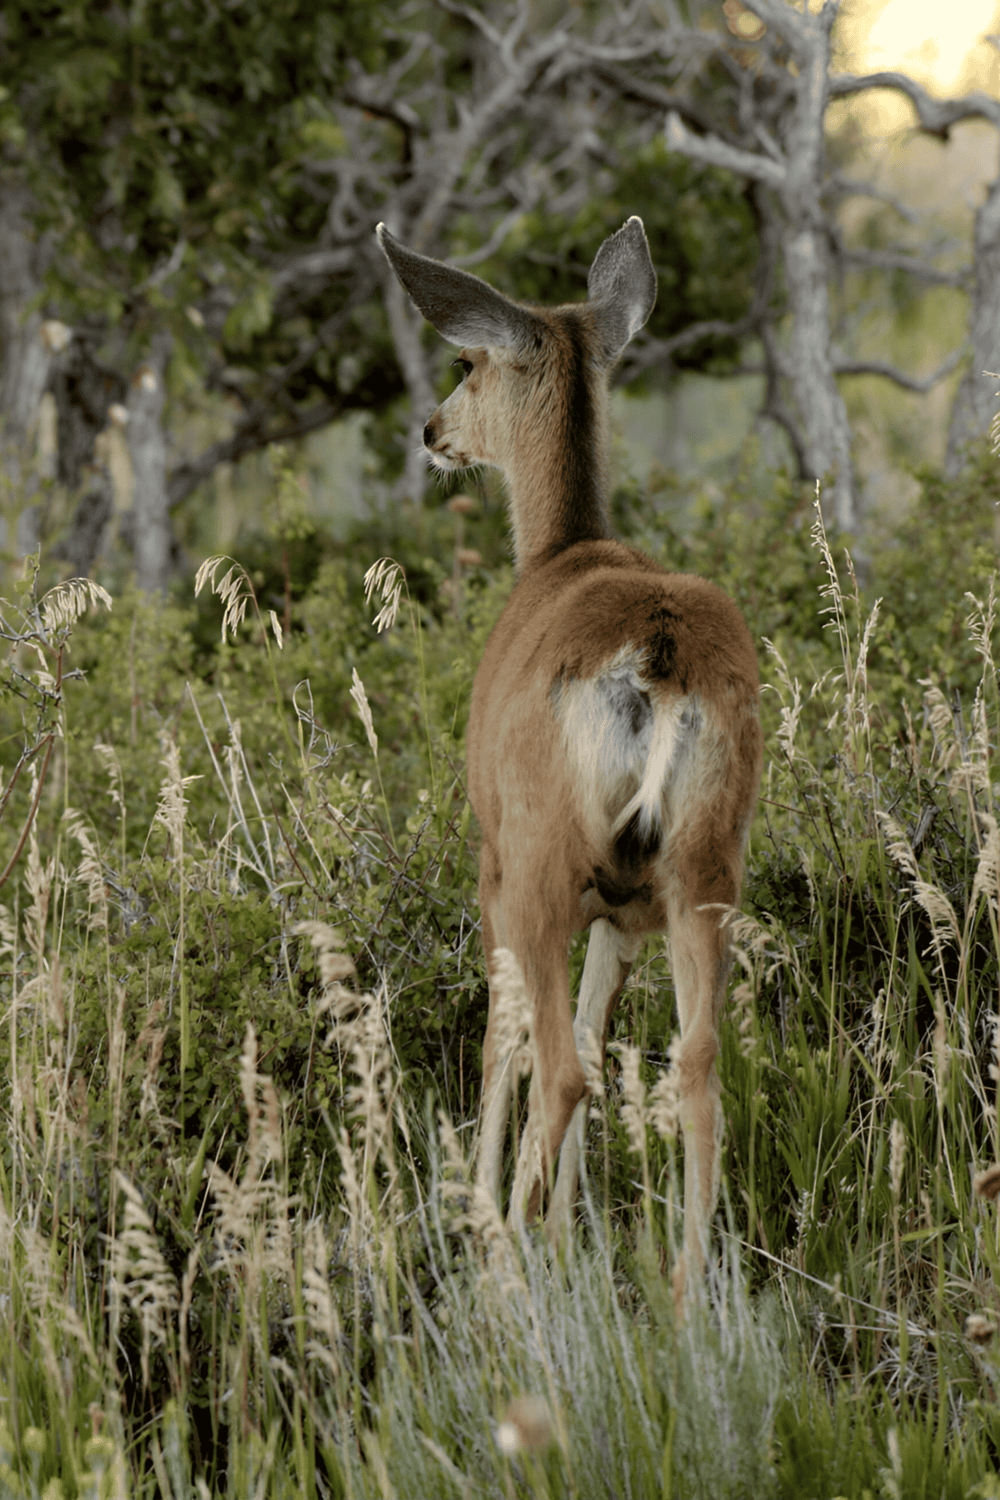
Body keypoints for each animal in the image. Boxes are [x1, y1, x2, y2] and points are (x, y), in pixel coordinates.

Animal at [376, 216, 763, 1302]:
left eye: (467, 364)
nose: (431, 431)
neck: (558, 552)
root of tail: (654, 660)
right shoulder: (622, 909)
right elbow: (600, 1031)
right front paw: (556, 1229)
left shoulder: (495, 860)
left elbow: (504, 1041)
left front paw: (504, 1222)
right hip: (701, 859)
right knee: (694, 1063)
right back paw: (683, 1294)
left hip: (542, 856)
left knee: (551, 1063)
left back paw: (503, 1273)